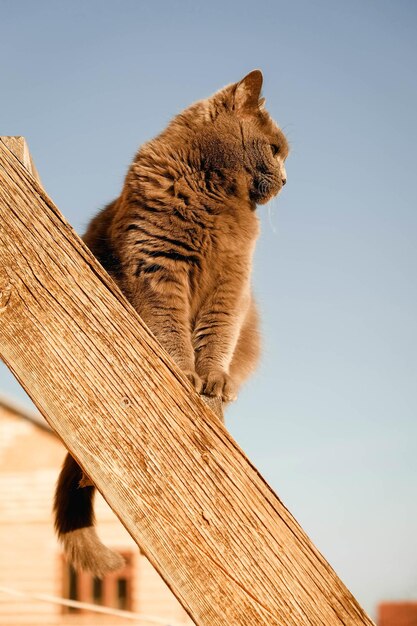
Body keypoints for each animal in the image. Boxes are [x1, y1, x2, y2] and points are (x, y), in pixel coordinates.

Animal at [53, 69, 288, 576]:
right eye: (276, 148)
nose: (287, 177)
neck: (216, 193)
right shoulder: (158, 263)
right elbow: (171, 328)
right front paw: (182, 372)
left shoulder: (232, 283)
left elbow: (217, 333)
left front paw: (211, 379)